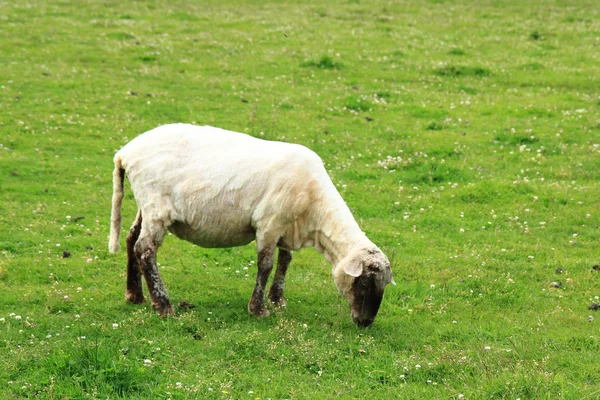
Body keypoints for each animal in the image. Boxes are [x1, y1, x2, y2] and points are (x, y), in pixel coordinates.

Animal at [109, 123, 394, 326]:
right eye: (365, 283)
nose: (366, 323)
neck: (314, 214)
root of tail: (125, 153)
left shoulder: (285, 226)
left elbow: (285, 261)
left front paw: (278, 299)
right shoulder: (269, 223)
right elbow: (266, 265)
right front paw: (258, 309)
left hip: (145, 206)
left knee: (131, 239)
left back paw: (135, 295)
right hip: (156, 206)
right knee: (145, 250)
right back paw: (163, 305)